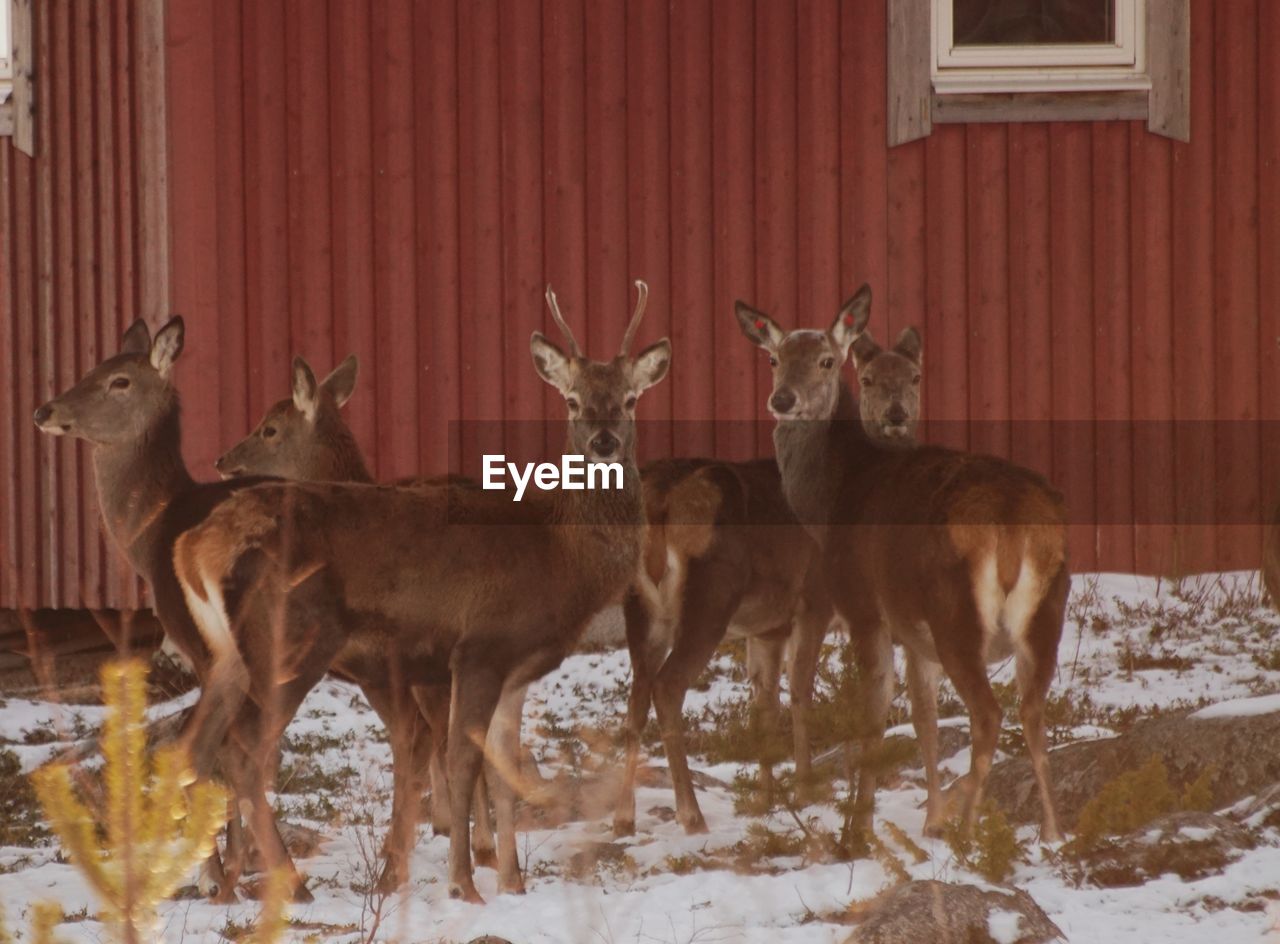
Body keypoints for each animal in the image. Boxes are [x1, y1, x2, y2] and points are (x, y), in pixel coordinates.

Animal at [33, 314, 299, 895]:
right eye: (93, 364)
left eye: (120, 381)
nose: (46, 411)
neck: (149, 532)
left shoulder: (198, 643)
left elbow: (207, 747)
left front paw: (215, 870)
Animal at [609, 322, 921, 828]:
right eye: (868, 379)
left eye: (914, 376)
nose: (896, 415)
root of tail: (661, 500)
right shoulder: (814, 600)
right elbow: (803, 692)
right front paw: (806, 788)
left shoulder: (766, 626)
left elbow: (764, 703)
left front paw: (768, 795)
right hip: (710, 595)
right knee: (668, 686)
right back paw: (691, 813)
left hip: (641, 605)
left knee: (636, 695)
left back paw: (623, 816)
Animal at [737, 285, 1064, 839]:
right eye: (774, 359)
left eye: (827, 360)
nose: (783, 400)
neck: (832, 499)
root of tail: (1014, 523)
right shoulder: (914, 630)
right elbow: (922, 715)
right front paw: (922, 819)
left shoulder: (864, 606)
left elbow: (873, 714)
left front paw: (859, 829)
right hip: (1047, 614)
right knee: (1034, 711)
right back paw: (1052, 835)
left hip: (957, 615)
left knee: (989, 714)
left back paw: (967, 831)